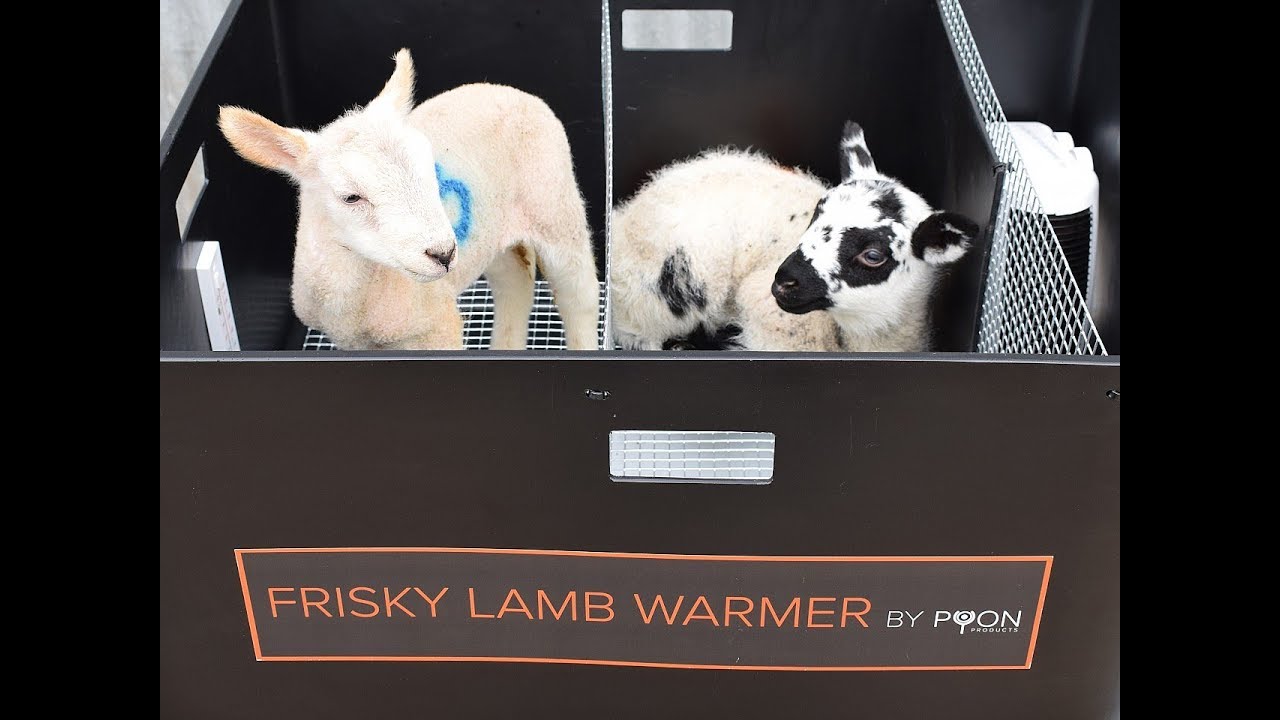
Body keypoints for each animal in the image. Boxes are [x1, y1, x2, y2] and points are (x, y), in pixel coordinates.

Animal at [217, 49, 600, 350]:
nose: (443, 254)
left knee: (579, 293)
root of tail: (507, 89)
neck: (357, 303)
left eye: (430, 168)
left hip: (553, 201)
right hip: (493, 228)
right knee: (514, 280)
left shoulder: (439, 326)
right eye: (351, 197)